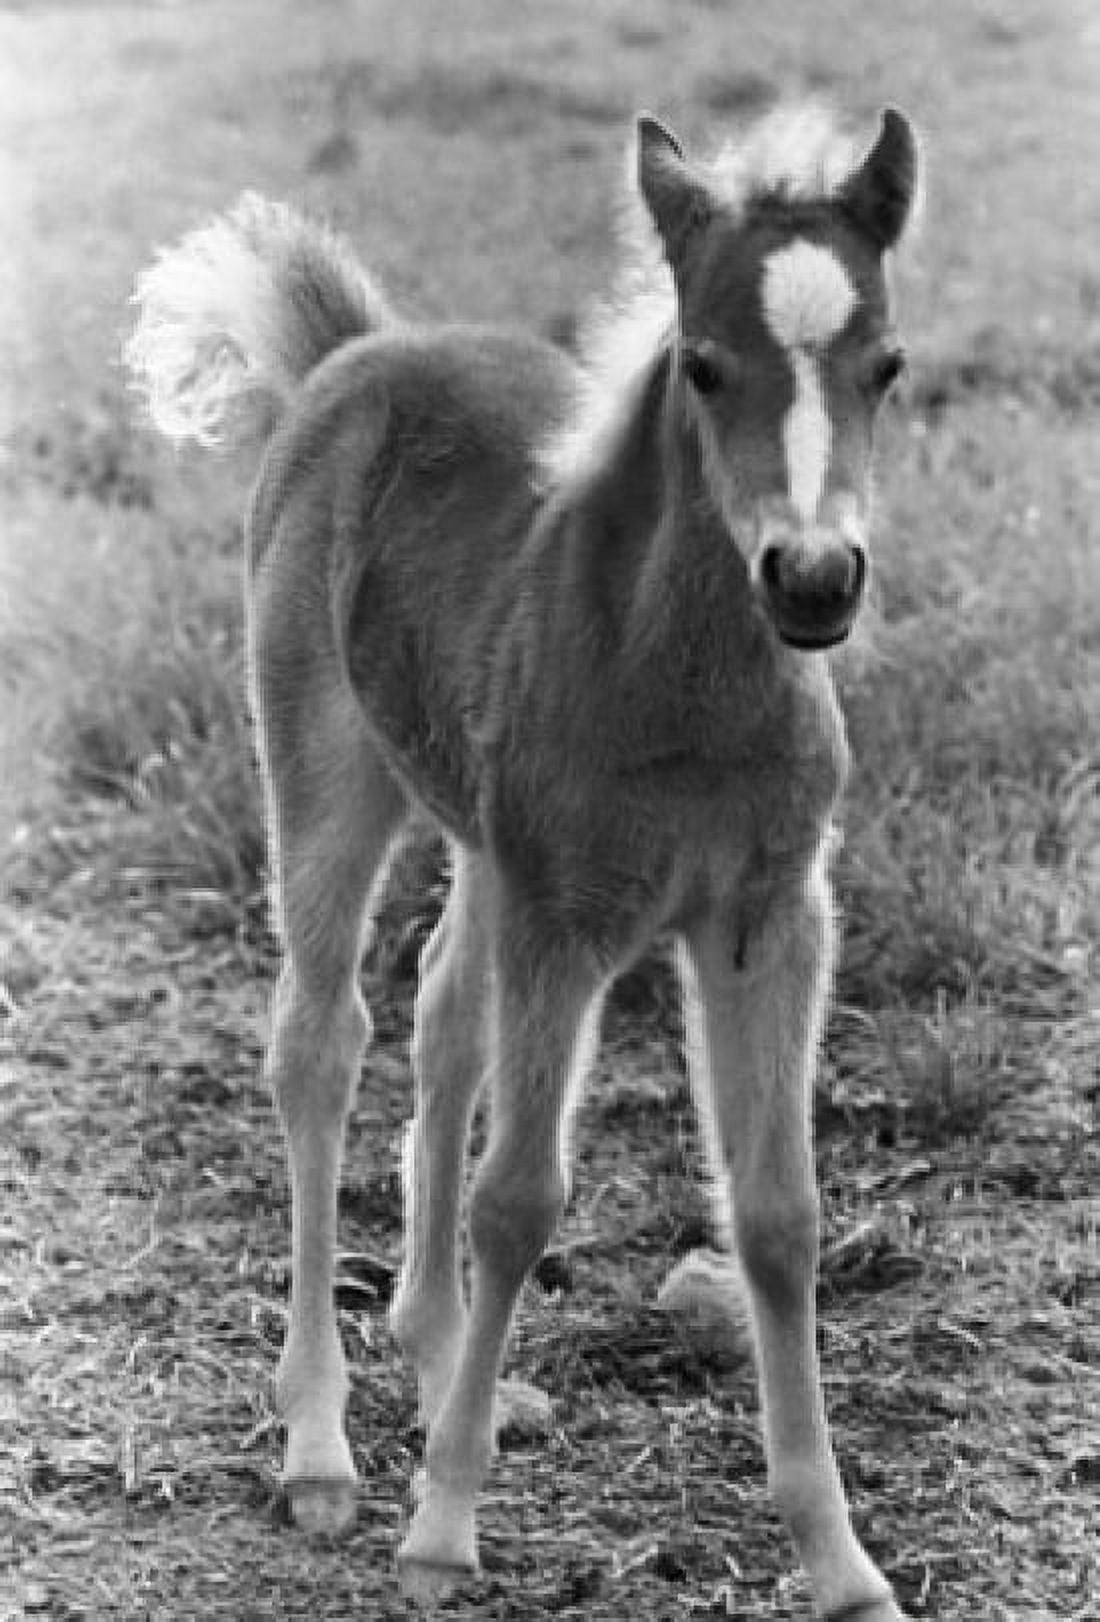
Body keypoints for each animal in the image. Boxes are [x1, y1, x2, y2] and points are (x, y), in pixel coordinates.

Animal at [125, 101, 919, 1619]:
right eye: (704, 365)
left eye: (887, 365)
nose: (813, 579)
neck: (687, 687)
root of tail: (361, 349)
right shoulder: (567, 916)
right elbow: (518, 1197)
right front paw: (441, 1529)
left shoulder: (772, 913)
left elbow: (777, 1214)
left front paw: (841, 1558)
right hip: (329, 777)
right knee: (322, 1042)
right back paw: (323, 1445)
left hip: (483, 841)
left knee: (440, 1009)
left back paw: (449, 1370)